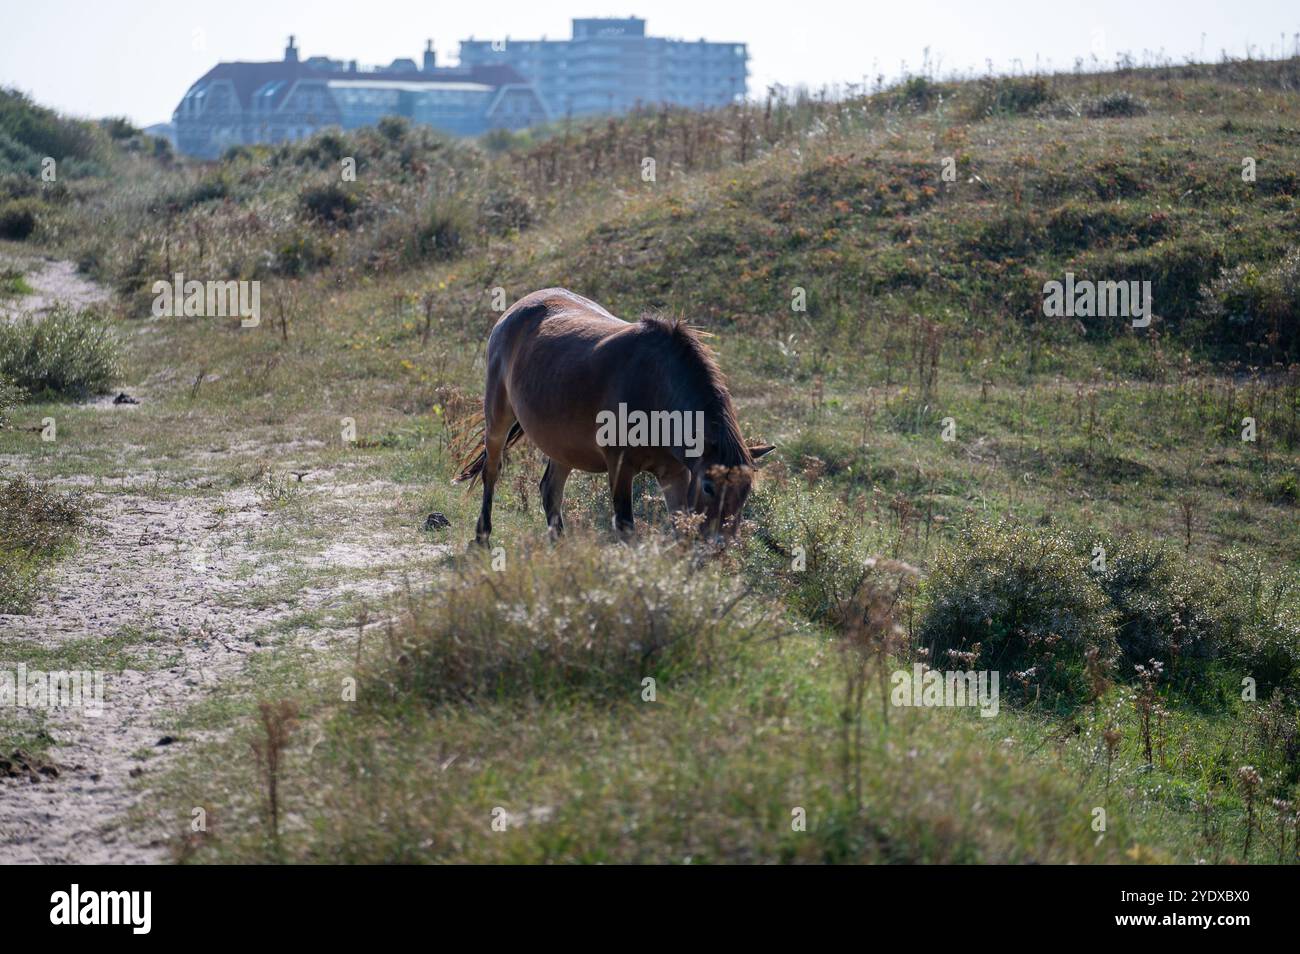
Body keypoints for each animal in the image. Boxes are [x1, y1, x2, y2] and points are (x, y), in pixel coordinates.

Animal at [454, 287, 769, 545]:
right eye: (709, 486)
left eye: (746, 491)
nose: (720, 544)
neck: (655, 387)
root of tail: (515, 310)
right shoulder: (620, 468)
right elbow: (626, 527)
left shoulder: (675, 472)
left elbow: (679, 526)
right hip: (498, 419)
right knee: (492, 471)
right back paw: (482, 536)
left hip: (562, 444)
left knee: (550, 489)